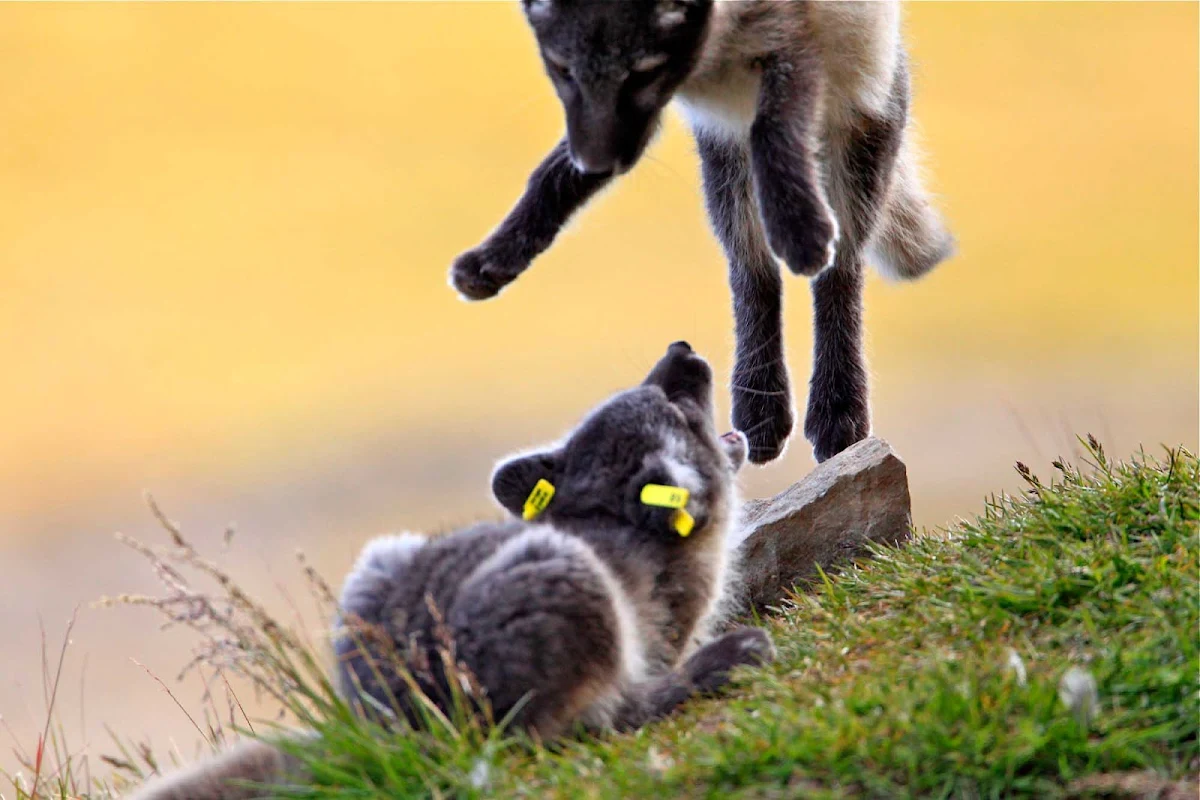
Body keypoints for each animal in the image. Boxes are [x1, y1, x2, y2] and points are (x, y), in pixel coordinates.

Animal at [130, 341, 774, 799]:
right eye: (679, 411)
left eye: (664, 396)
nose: (681, 349)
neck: (607, 519)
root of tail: (404, 731)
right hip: (570, 586)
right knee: (588, 724)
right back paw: (717, 664)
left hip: (377, 567)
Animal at [450, 0, 954, 465]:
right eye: (562, 70)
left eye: (643, 72)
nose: (597, 163)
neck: (717, 52)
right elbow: (553, 177)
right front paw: (496, 257)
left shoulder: (793, 41)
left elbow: (777, 129)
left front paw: (799, 225)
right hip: (725, 164)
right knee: (751, 271)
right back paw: (760, 402)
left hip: (860, 127)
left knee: (841, 273)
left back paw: (835, 403)